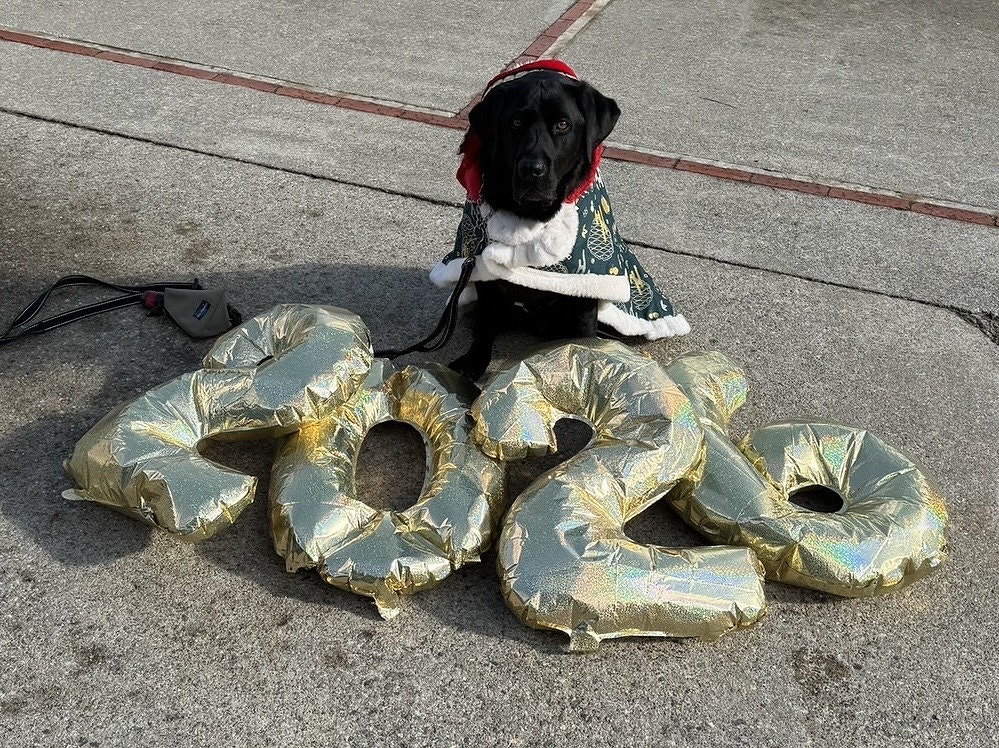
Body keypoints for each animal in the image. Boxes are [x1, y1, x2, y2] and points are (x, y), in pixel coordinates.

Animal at [431, 61, 689, 381]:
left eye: (563, 125)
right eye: (516, 122)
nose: (532, 170)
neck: (532, 217)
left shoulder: (584, 296)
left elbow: (582, 342)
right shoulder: (482, 272)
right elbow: (486, 327)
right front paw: (472, 363)